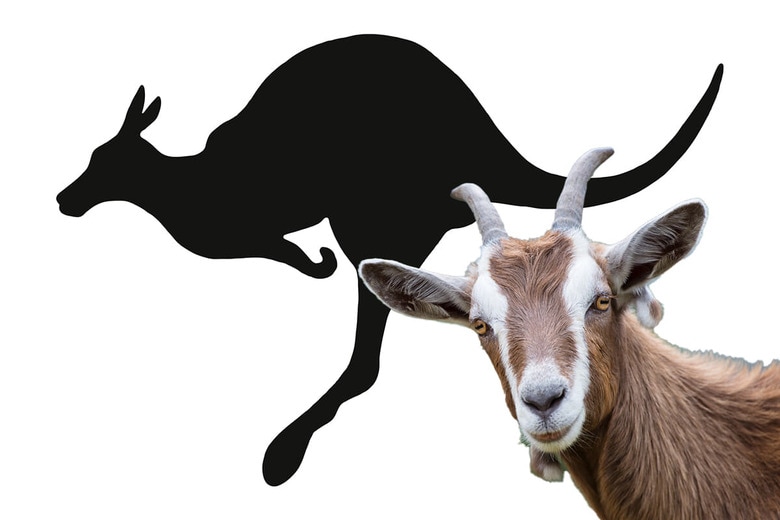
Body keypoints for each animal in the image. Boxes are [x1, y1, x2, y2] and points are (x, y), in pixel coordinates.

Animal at [56, 34, 723, 486]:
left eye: (101, 160)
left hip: (374, 214)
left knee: (366, 359)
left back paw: (284, 451)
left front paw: (316, 259)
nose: (64, 200)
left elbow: (289, 253)